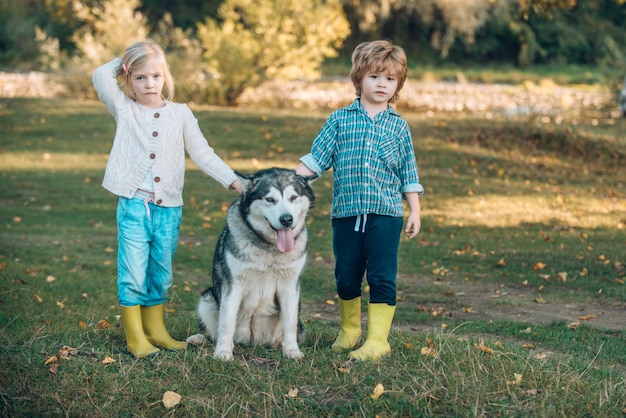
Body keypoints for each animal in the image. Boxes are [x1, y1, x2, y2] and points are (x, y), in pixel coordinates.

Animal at [184, 167, 312, 360]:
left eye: (293, 197)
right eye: (270, 199)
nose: (286, 219)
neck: (269, 248)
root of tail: (252, 342)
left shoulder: (290, 285)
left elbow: (289, 323)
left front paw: (291, 351)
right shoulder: (233, 284)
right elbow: (227, 322)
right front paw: (223, 352)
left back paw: (278, 344)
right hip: (208, 298)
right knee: (213, 333)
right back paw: (200, 339)